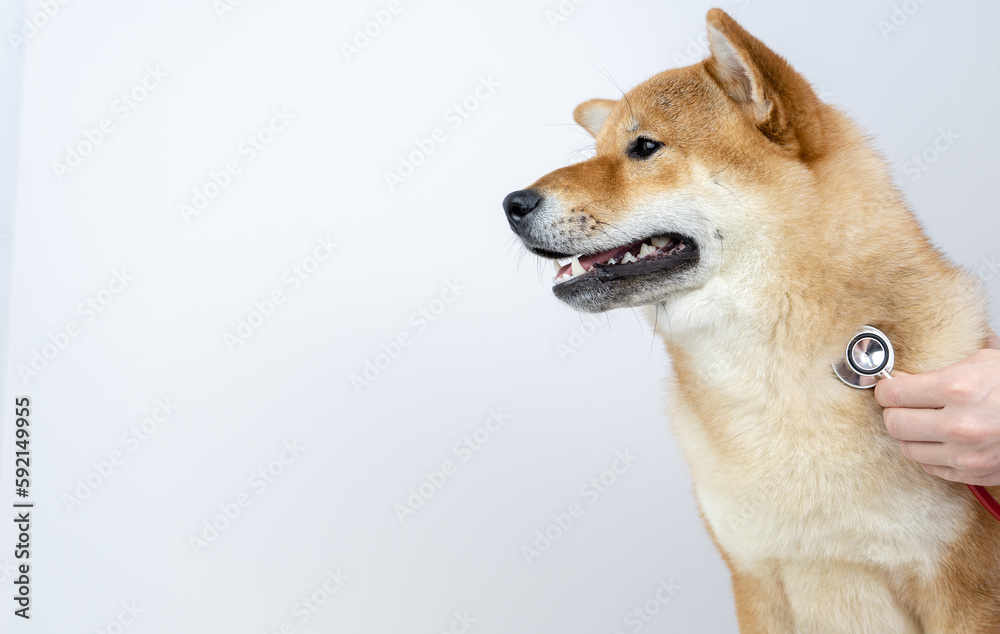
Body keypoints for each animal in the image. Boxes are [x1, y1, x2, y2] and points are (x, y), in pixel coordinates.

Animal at [504, 9, 1000, 632]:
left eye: (644, 147)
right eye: (598, 149)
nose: (512, 204)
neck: (773, 382)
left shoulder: (962, 592)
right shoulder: (755, 580)